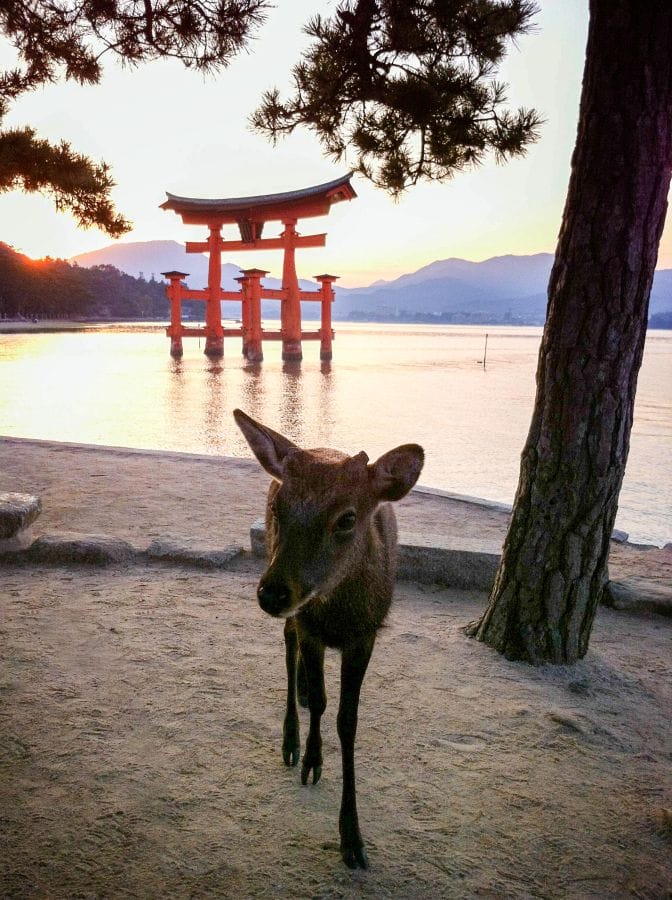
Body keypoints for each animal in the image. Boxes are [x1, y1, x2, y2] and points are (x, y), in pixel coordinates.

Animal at [233, 409, 424, 869]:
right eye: (278, 507)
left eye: (348, 518)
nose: (272, 593)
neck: (339, 618)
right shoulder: (310, 627)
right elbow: (322, 702)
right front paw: (311, 761)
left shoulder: (366, 635)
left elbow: (348, 720)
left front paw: (353, 838)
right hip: (290, 605)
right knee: (287, 647)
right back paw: (291, 736)